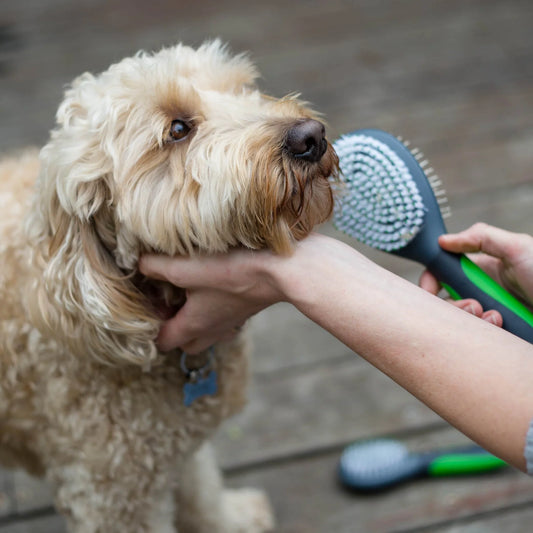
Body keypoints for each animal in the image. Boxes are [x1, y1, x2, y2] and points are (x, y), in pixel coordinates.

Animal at [1, 42, 336, 532]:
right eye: (178, 129)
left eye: (242, 88)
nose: (311, 136)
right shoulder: (114, 495)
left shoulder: (171, 443)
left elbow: (199, 482)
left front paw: (229, 519)